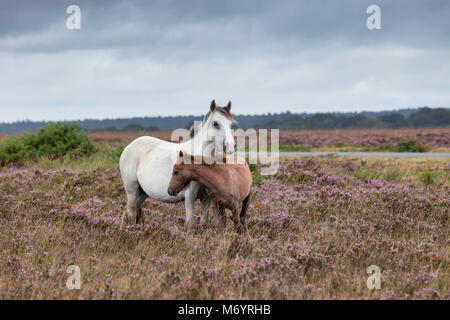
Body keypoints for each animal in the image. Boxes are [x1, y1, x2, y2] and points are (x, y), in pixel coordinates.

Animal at [118, 100, 237, 228]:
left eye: (230, 124)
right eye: (215, 123)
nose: (230, 145)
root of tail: (129, 147)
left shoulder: (206, 198)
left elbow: (204, 223)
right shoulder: (190, 196)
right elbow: (189, 223)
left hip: (142, 193)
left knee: (127, 213)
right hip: (132, 190)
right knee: (131, 214)